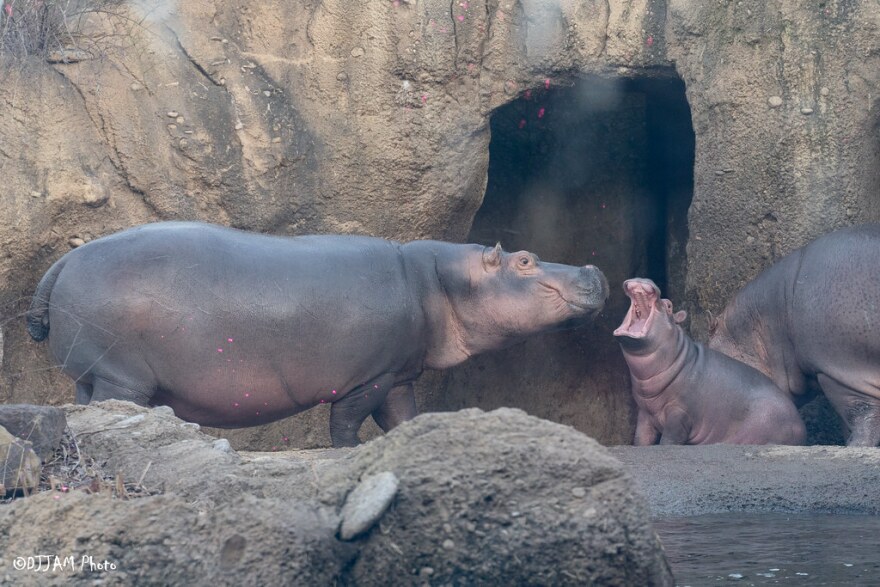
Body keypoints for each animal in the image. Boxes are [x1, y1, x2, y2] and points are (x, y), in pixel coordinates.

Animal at [25, 220, 604, 446]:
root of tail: (64, 261)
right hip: (121, 376)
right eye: (524, 259)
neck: (439, 282)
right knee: (114, 405)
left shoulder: (399, 375)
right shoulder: (369, 376)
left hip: (91, 373)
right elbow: (346, 421)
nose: (594, 269)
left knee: (83, 404)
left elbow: (403, 418)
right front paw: (350, 451)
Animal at [612, 280, 804, 446]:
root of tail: (800, 423)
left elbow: (669, 439)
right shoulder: (645, 413)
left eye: (669, 305)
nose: (643, 280)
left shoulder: (680, 413)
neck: (677, 358)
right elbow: (641, 439)